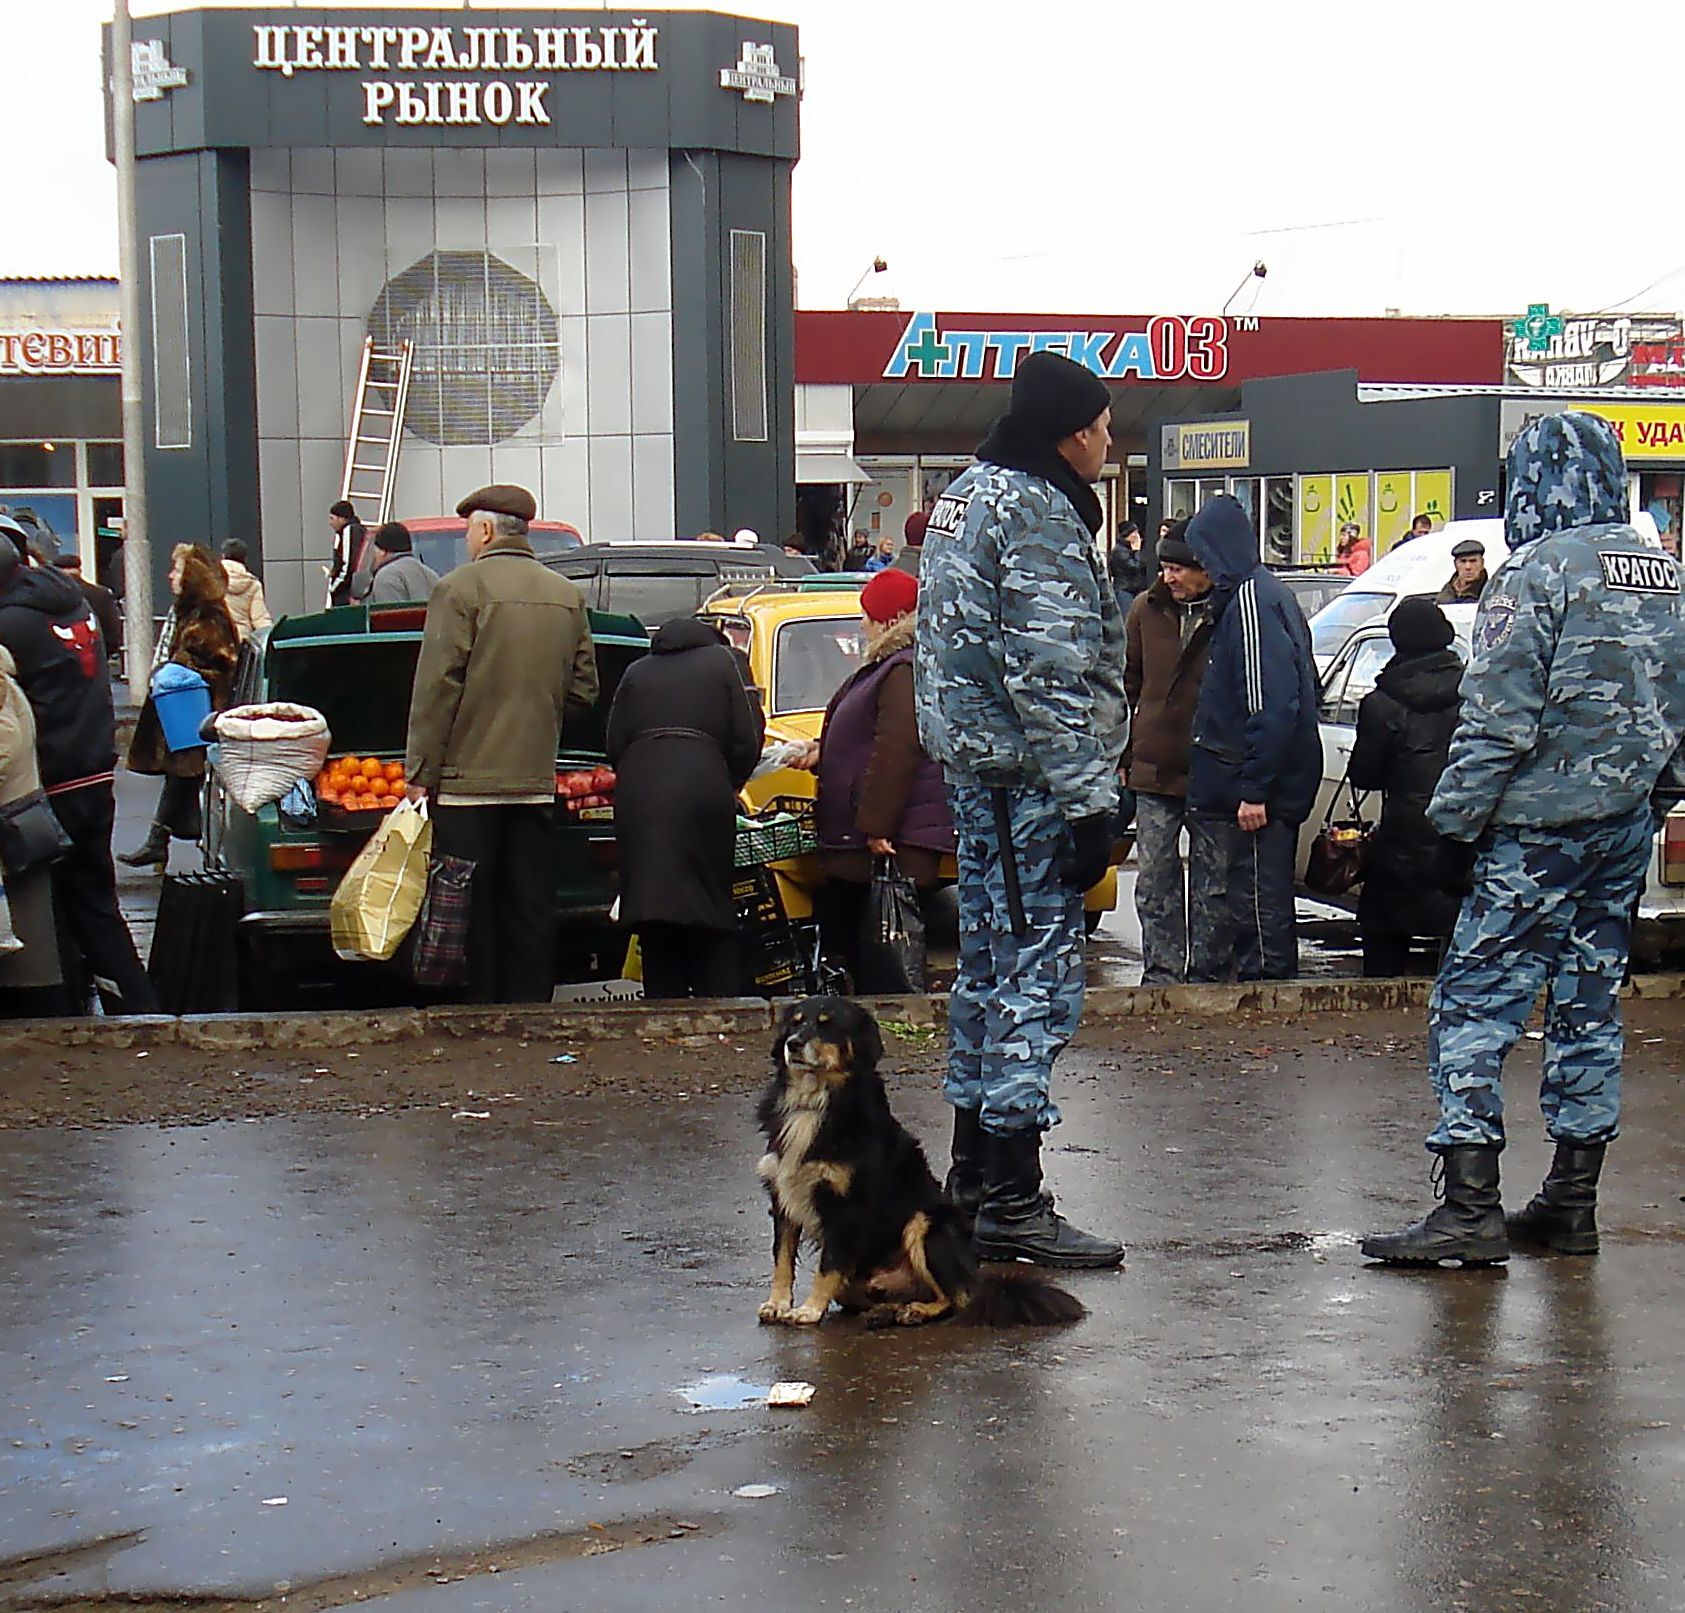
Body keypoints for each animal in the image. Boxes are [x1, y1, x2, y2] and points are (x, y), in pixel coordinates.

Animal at [758, 997, 1085, 1328]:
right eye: (796, 1022)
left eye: (828, 1025)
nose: (793, 1044)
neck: (812, 1102)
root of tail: (977, 1278)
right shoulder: (782, 1197)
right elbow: (782, 1259)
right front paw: (778, 1303)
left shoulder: (846, 1210)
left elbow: (829, 1265)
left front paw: (809, 1310)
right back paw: (884, 1312)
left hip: (926, 1225)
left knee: (957, 1300)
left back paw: (916, 1310)